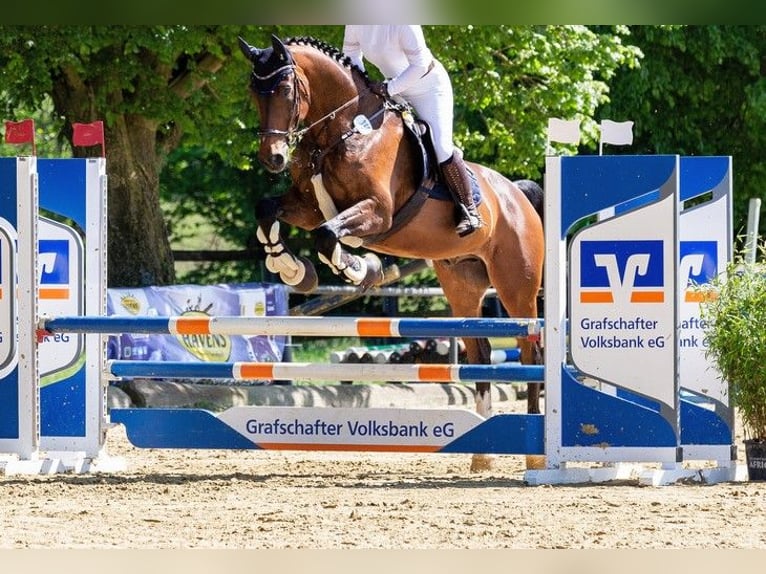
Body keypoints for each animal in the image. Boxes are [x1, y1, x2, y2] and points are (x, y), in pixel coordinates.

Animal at [240, 35, 544, 472]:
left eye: (284, 88)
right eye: (253, 91)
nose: (273, 158)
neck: (341, 133)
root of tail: (517, 194)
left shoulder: (377, 212)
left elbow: (329, 238)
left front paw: (359, 268)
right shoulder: (308, 207)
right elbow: (267, 209)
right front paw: (293, 269)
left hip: (515, 285)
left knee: (530, 349)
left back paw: (535, 457)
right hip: (462, 284)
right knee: (481, 352)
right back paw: (483, 455)